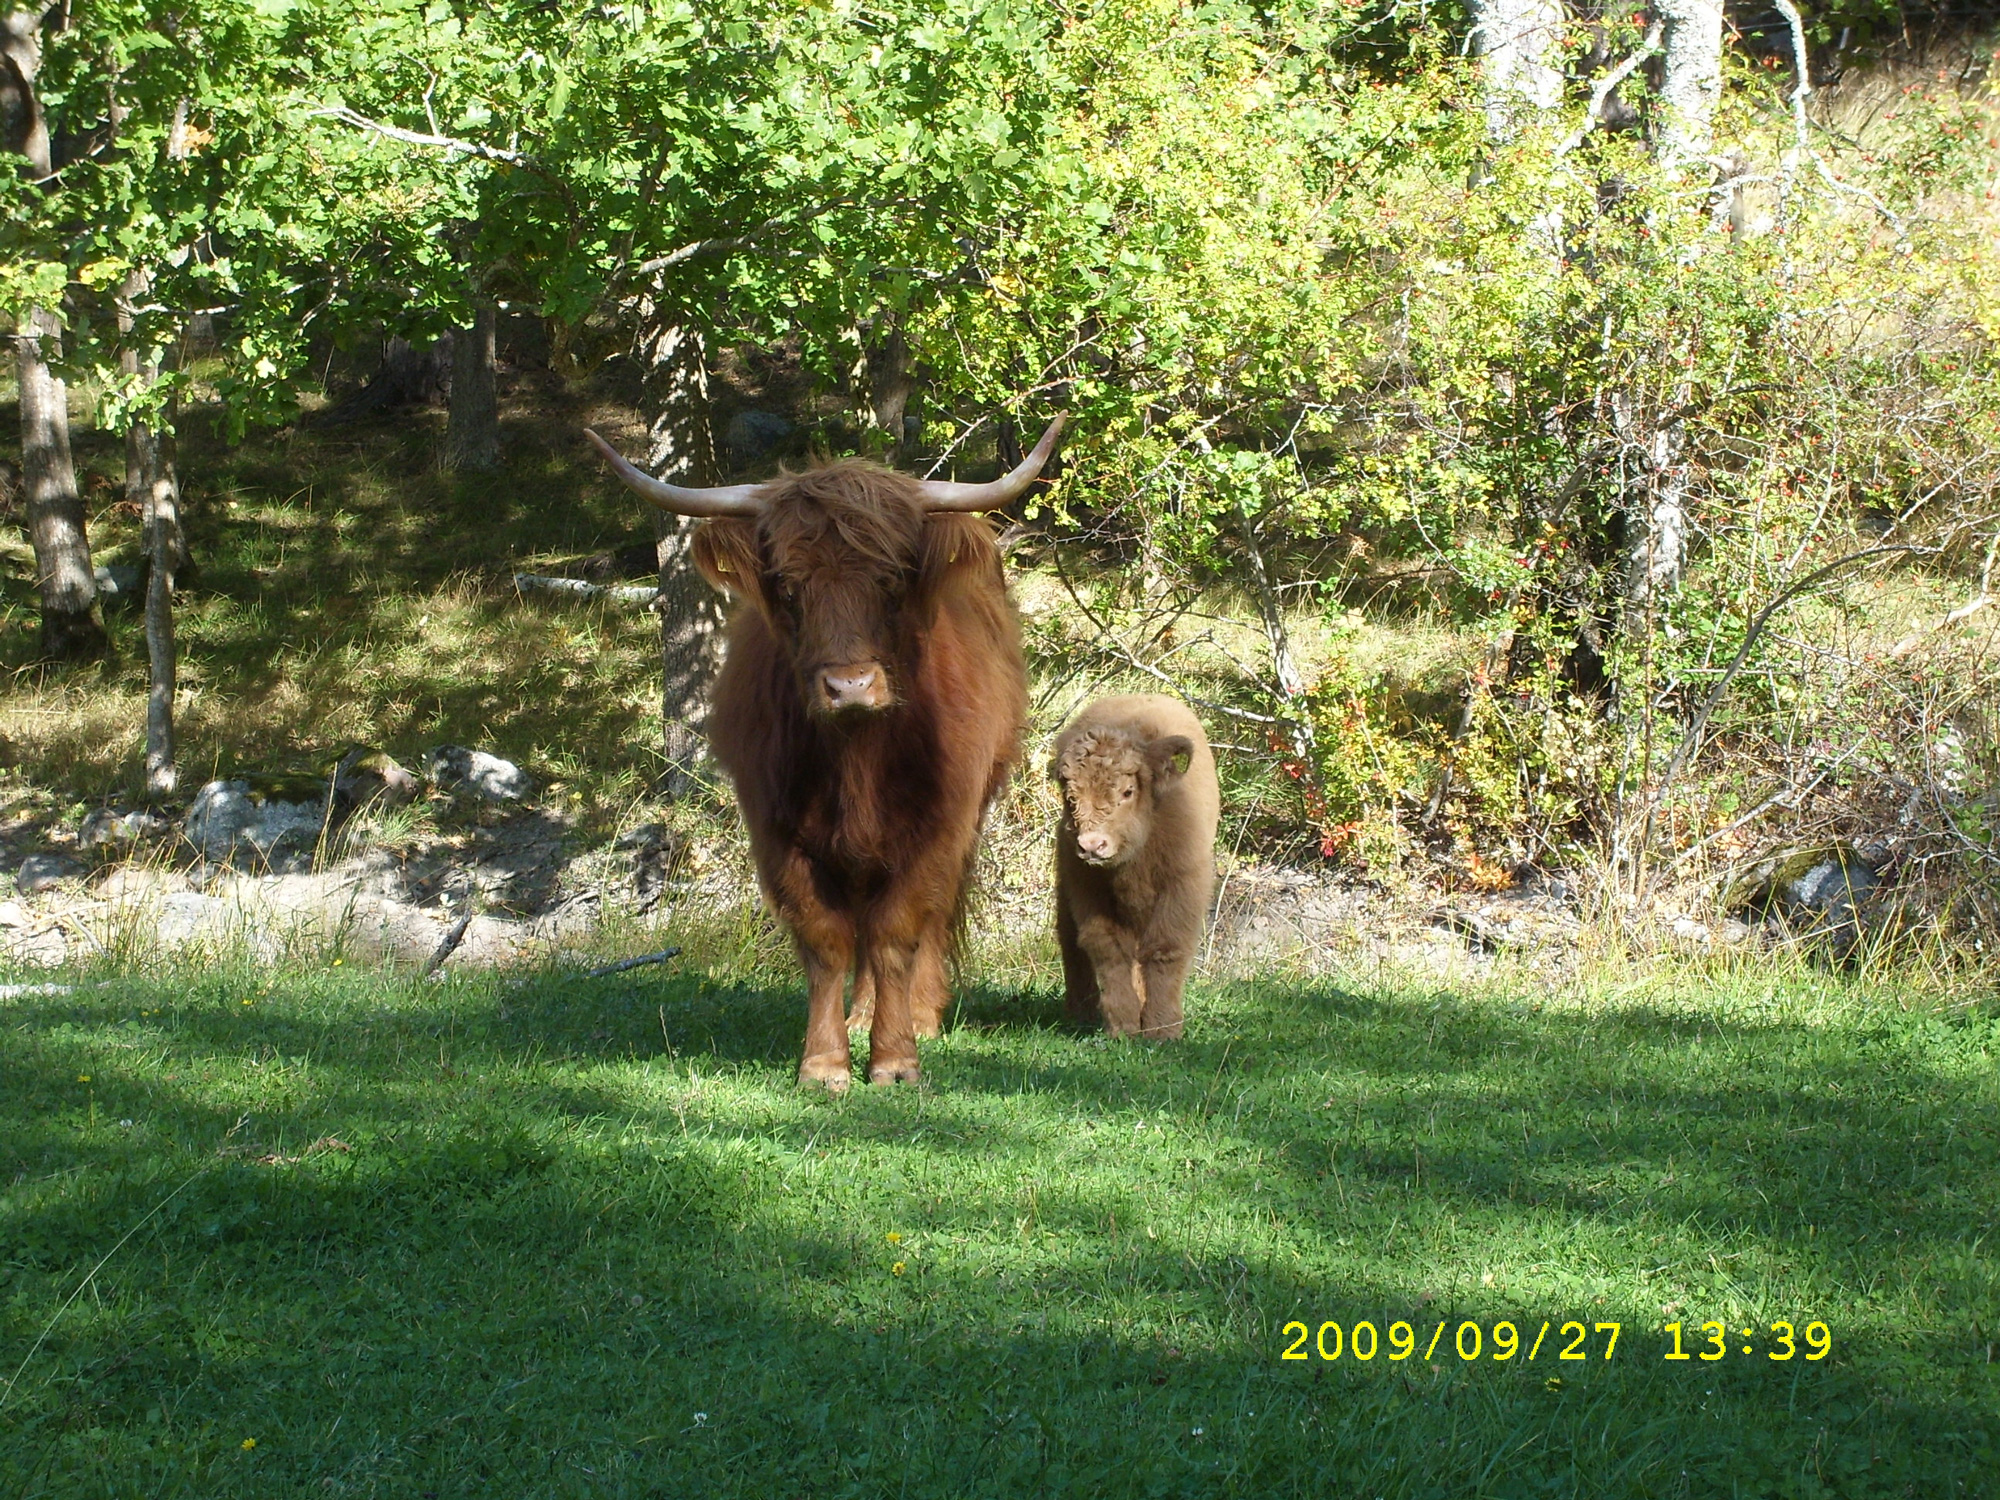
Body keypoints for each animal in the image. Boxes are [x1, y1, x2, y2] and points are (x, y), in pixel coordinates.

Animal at [584, 418, 1064, 1088]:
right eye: (789, 587)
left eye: (891, 580)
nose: (850, 685)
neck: (856, 757)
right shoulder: (776, 830)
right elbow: (826, 938)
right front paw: (826, 1061)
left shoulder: (939, 823)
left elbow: (899, 932)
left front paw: (896, 1058)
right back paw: (860, 1015)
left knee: (932, 917)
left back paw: (918, 1013)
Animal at [1048, 696, 1216, 1040]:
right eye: (1071, 796)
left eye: (1127, 791)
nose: (1092, 845)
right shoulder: (1086, 889)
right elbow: (1108, 948)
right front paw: (1123, 1025)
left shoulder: (1182, 886)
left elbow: (1165, 950)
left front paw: (1162, 1028)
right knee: (1070, 940)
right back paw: (1080, 1013)